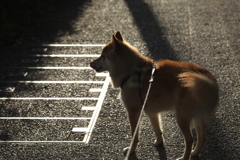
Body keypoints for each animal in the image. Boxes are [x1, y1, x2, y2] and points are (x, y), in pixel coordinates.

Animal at [89, 31, 218, 160]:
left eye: (103, 56)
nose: (91, 63)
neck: (131, 71)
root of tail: (208, 81)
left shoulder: (133, 112)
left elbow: (135, 136)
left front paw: (131, 150)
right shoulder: (152, 113)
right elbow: (157, 129)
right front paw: (159, 142)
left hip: (182, 117)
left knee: (190, 140)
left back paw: (185, 157)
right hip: (197, 117)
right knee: (202, 137)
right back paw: (194, 153)